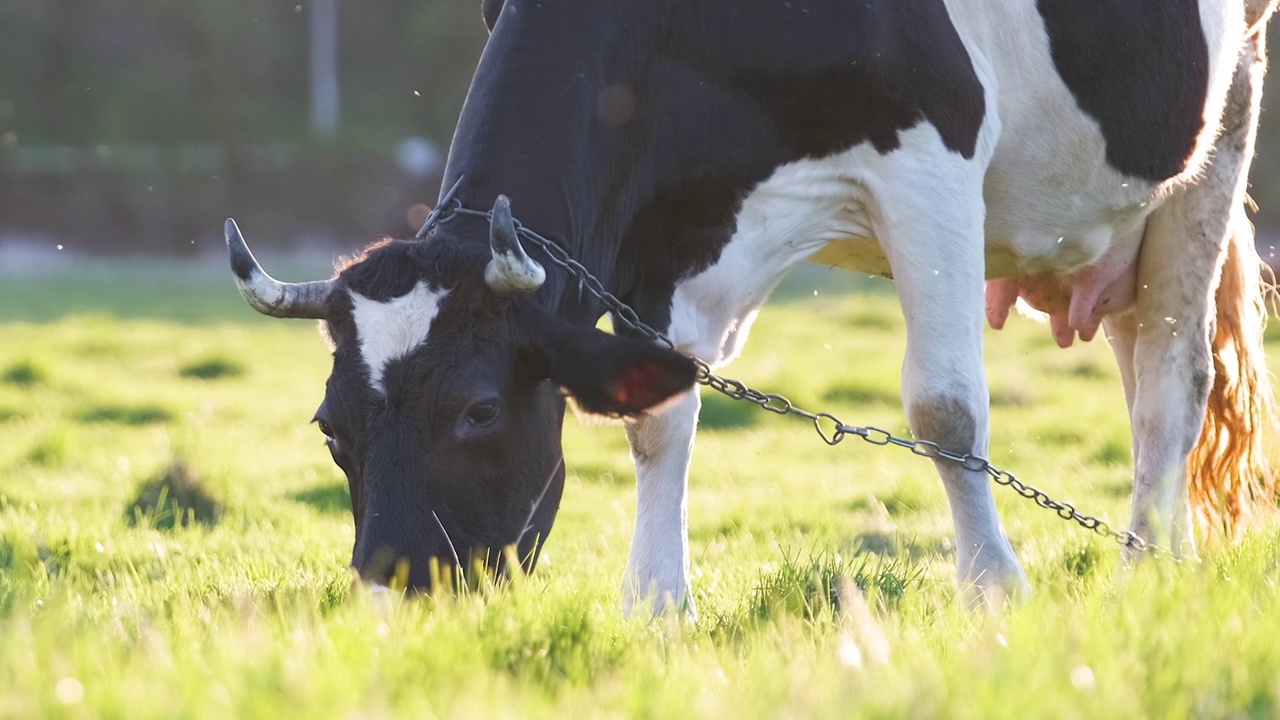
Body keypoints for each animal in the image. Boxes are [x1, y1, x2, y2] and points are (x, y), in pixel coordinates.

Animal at [227, 0, 1280, 609]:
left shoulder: (931, 152)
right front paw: (656, 607)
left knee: (1172, 387)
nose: (393, 601)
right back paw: (1170, 556)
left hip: (1219, 124)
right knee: (1141, 362)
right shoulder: (663, 217)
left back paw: (1144, 572)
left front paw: (995, 590)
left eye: (478, 411)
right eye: (331, 430)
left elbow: (944, 408)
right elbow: (658, 414)